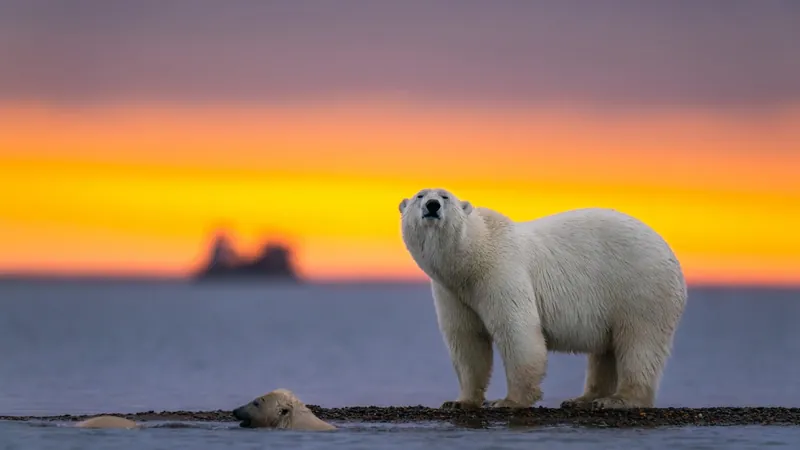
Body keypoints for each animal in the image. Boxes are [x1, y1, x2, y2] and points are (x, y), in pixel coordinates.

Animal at [400, 188, 688, 410]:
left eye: (445, 196)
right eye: (420, 195)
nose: (432, 205)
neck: (472, 258)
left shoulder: (501, 271)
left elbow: (517, 331)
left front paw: (508, 401)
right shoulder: (453, 292)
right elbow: (467, 340)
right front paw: (460, 401)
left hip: (641, 288)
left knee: (639, 342)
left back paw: (619, 399)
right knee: (606, 351)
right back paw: (583, 399)